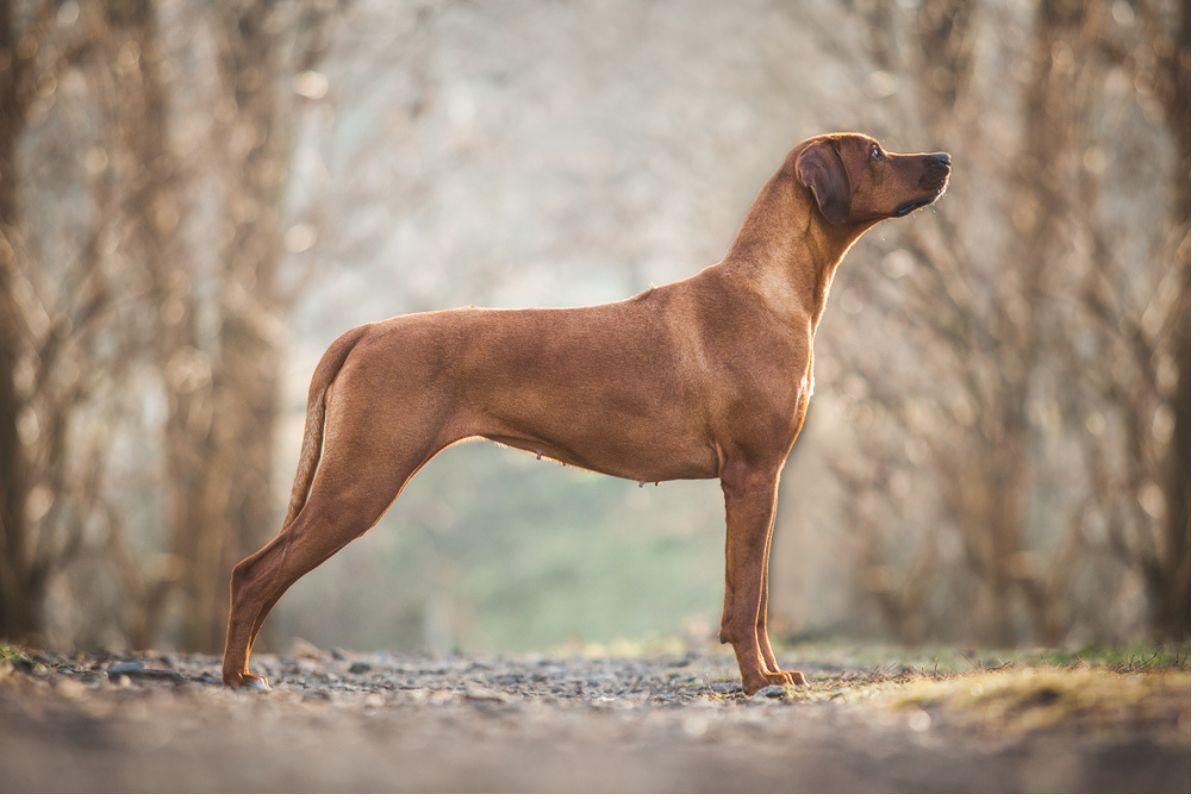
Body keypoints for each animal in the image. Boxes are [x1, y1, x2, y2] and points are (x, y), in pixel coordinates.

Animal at [223, 131, 945, 695]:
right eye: (875, 152)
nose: (943, 158)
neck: (767, 288)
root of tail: (366, 329)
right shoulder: (751, 474)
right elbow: (745, 601)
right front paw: (757, 682)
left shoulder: (763, 480)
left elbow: (758, 598)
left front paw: (772, 674)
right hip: (360, 481)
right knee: (252, 573)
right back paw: (236, 677)